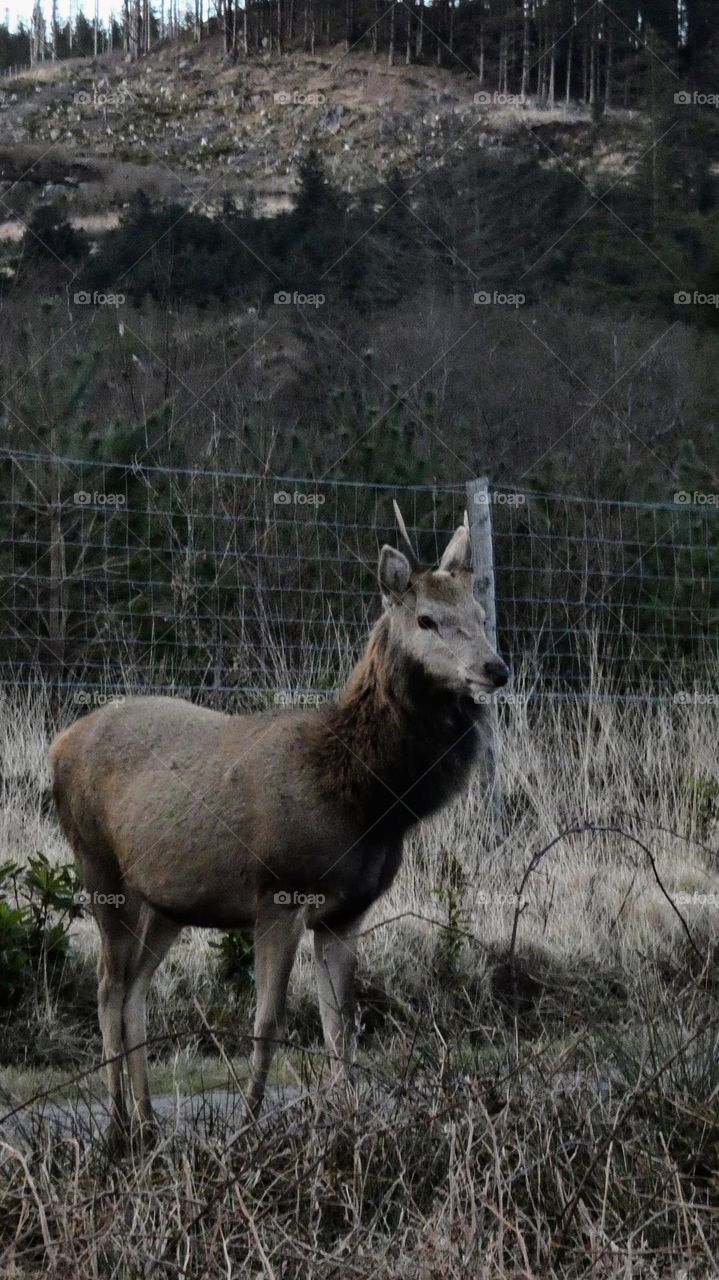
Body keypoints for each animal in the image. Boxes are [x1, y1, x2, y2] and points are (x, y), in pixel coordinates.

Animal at [49, 505, 509, 1146]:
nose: (495, 668)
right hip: (98, 865)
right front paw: (247, 1126)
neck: (366, 802)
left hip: (166, 900)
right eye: (426, 618)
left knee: (135, 988)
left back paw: (146, 1122)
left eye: (481, 615)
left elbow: (342, 1027)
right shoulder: (279, 893)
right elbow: (267, 1023)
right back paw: (117, 1124)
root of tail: (59, 743)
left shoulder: (347, 912)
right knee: (107, 986)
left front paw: (350, 1125)